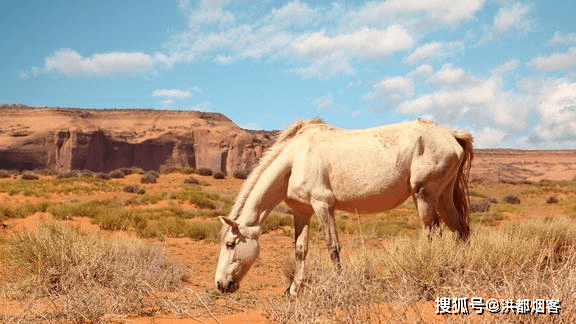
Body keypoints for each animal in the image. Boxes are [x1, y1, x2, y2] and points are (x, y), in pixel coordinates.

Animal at [216, 118, 472, 296]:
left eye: (230, 244)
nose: (220, 284)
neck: (295, 160)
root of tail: (452, 135)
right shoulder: (302, 212)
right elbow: (300, 250)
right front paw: (293, 290)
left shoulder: (323, 206)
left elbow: (333, 247)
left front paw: (340, 285)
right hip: (443, 197)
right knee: (461, 231)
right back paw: (460, 271)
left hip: (424, 196)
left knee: (432, 233)